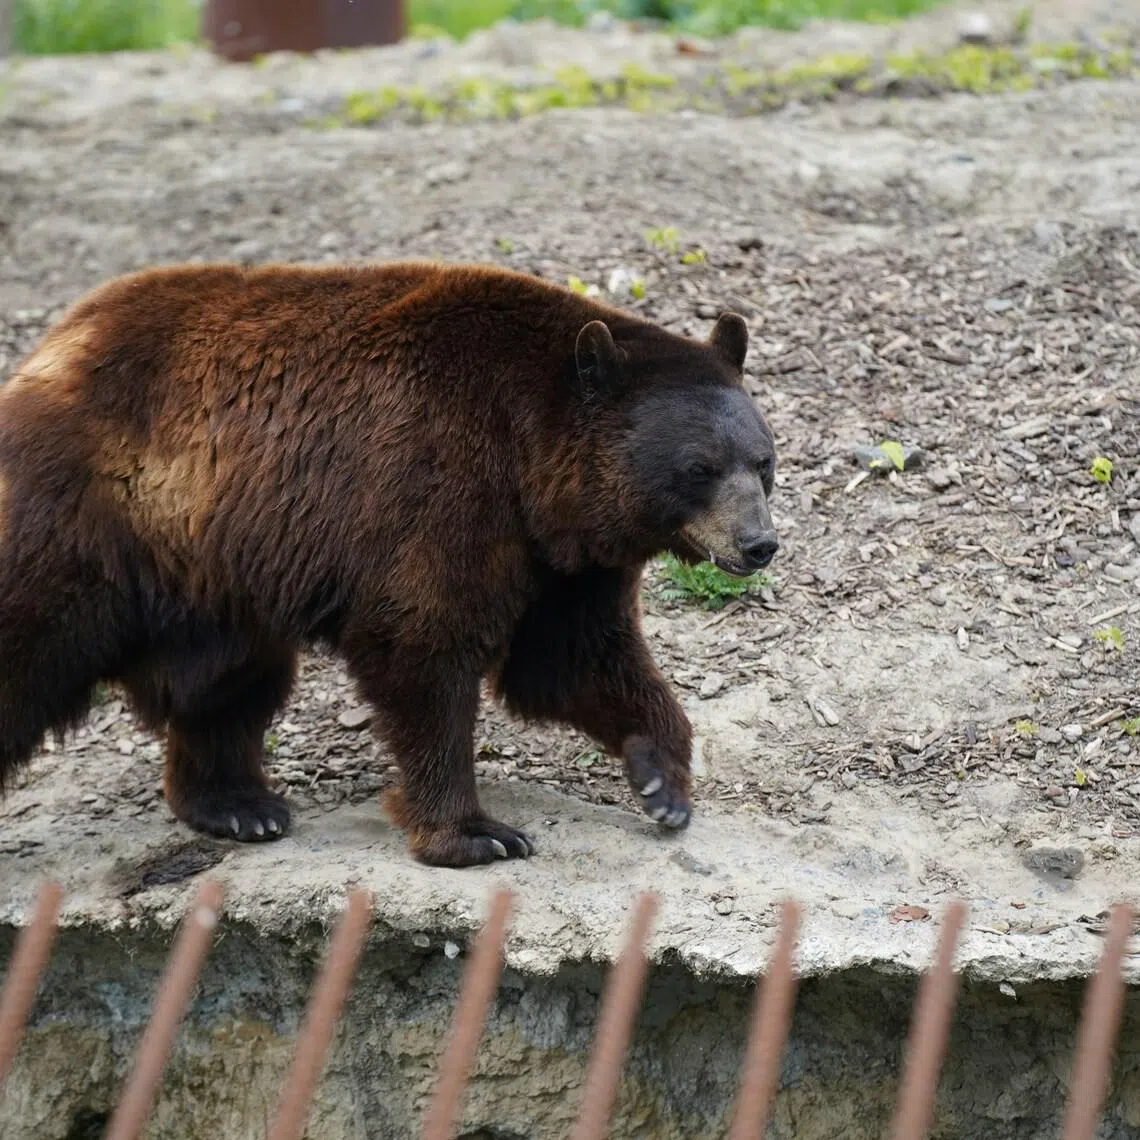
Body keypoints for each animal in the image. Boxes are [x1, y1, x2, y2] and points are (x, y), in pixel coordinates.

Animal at [0, 260, 778, 867]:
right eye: (700, 467)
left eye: (763, 461)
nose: (758, 544)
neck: (534, 464)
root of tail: (47, 346)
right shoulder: (435, 484)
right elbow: (423, 644)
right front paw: (477, 833)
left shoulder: (564, 561)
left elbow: (573, 659)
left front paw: (662, 781)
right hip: (86, 521)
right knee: (31, 649)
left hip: (209, 576)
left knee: (228, 682)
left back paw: (239, 805)